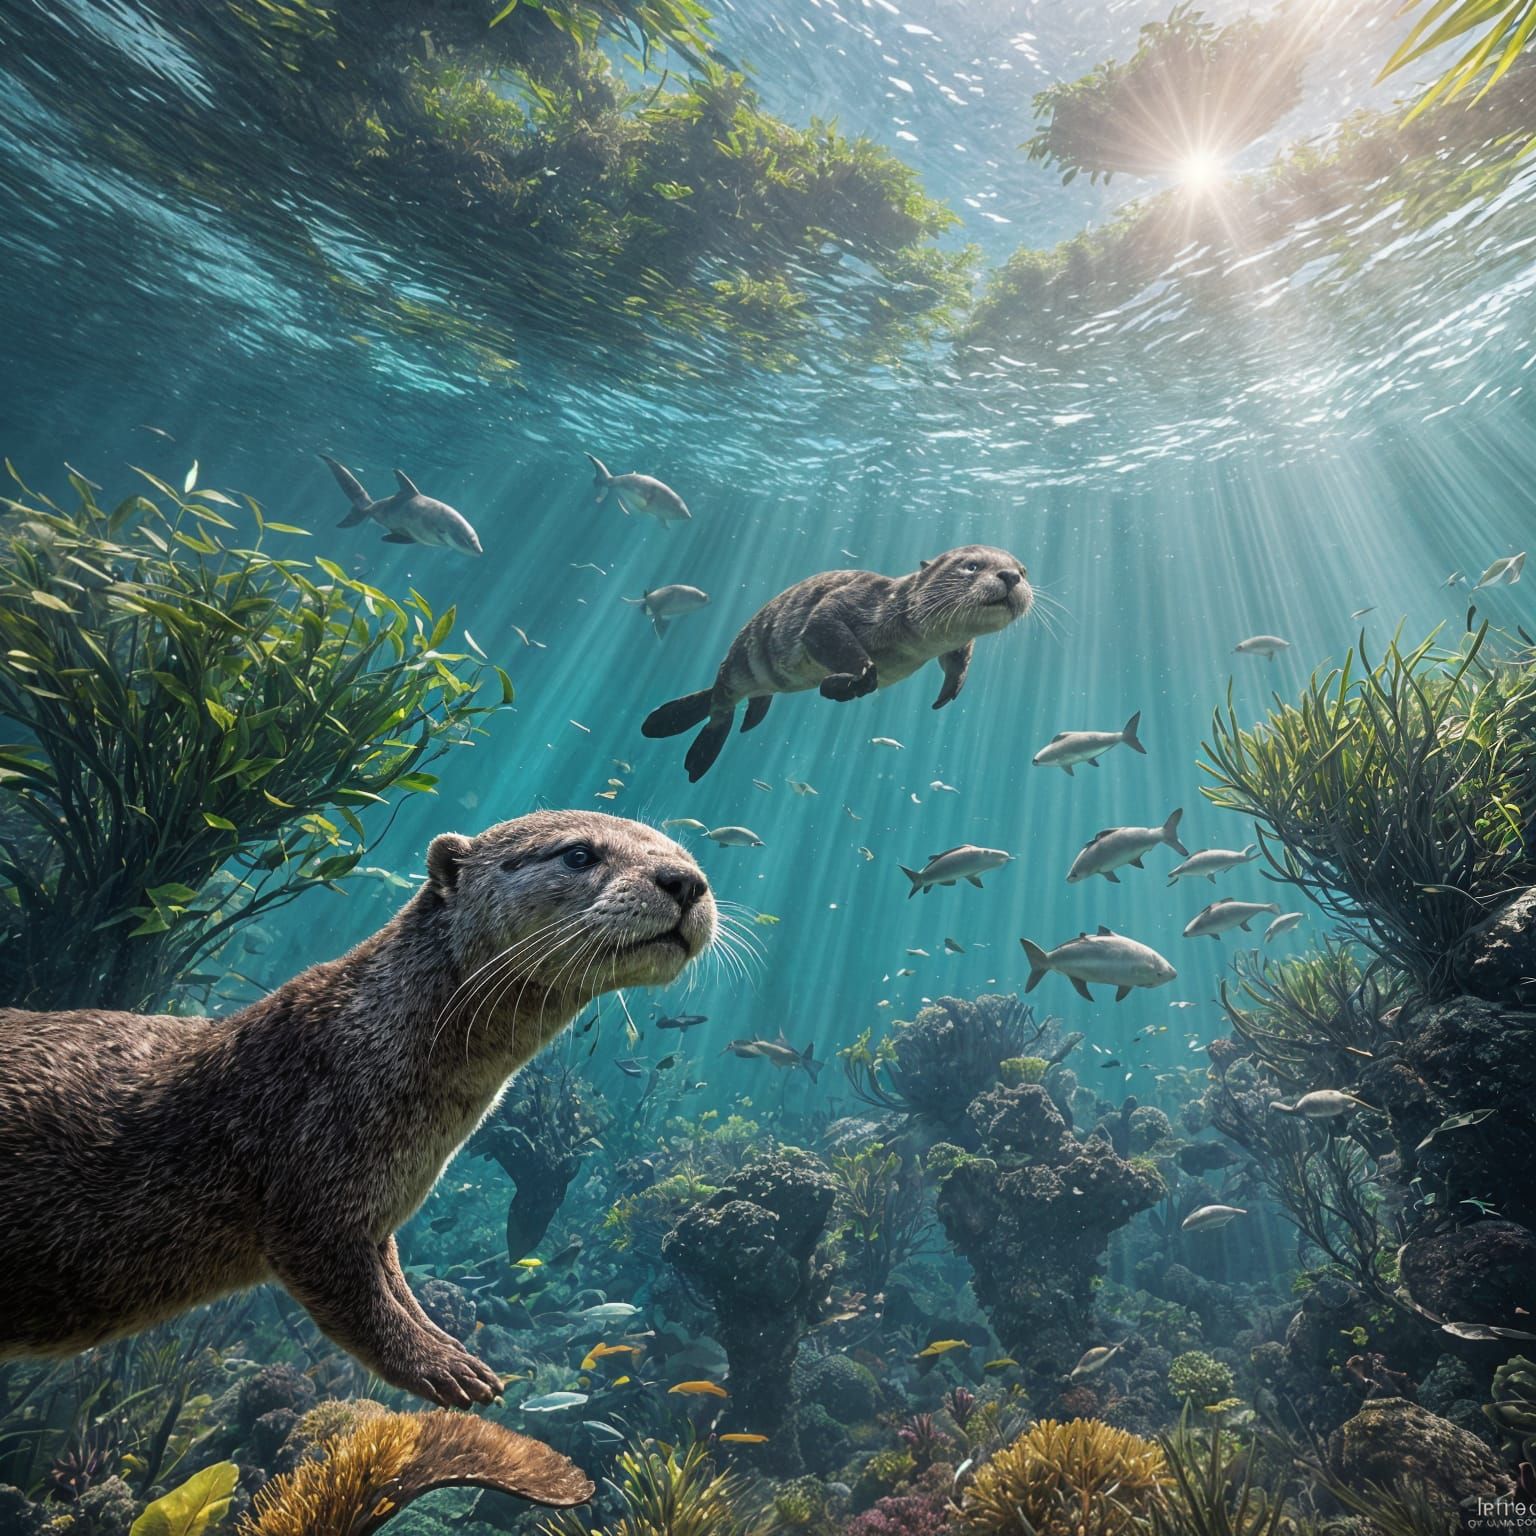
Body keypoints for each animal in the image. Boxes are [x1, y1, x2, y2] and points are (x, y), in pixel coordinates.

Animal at [0, 811, 713, 1408]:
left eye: (684, 853)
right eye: (578, 854)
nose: (686, 881)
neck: (368, 1039)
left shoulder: (379, 1214)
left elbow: (393, 1283)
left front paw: (445, 1342)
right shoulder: (311, 1182)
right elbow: (353, 1297)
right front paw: (445, 1369)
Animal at [641, 545, 1032, 780]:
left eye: (1024, 570)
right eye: (972, 566)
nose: (1011, 576)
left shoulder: (954, 642)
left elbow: (959, 657)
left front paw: (948, 693)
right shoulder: (859, 603)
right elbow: (823, 623)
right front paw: (849, 683)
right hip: (734, 668)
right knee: (719, 708)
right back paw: (696, 755)